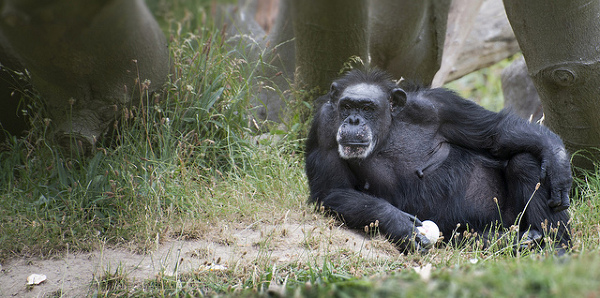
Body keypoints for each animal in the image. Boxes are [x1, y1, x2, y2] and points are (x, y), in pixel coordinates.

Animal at [308, 68, 576, 253]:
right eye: (346, 106)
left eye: (367, 108)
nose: (353, 120)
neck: (388, 130)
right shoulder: (325, 125)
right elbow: (332, 190)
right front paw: (400, 225)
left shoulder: (442, 106)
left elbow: (495, 133)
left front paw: (557, 158)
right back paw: (515, 241)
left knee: (525, 162)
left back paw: (556, 246)